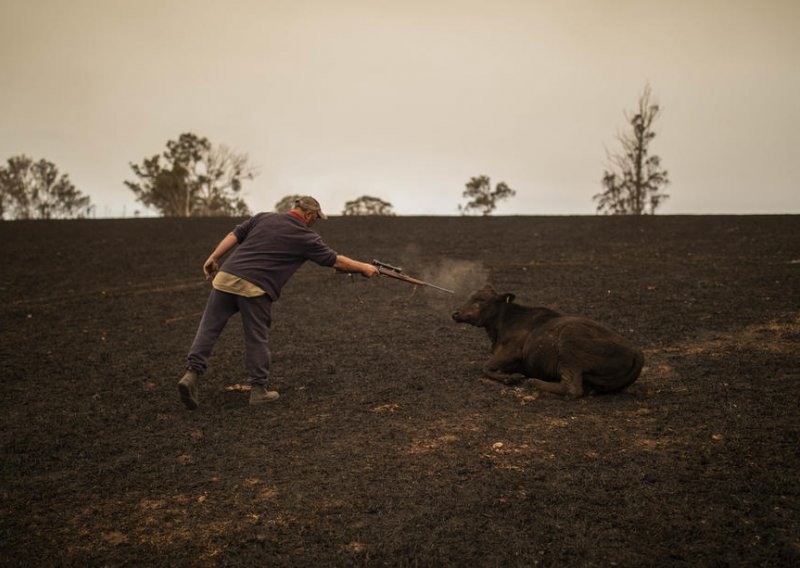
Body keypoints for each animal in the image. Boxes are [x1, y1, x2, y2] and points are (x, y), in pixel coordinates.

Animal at [450, 284, 644, 400]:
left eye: (480, 300)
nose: (456, 313)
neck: (503, 323)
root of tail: (637, 352)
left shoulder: (513, 352)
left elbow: (485, 367)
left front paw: (512, 378)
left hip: (569, 346)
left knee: (572, 388)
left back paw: (533, 382)